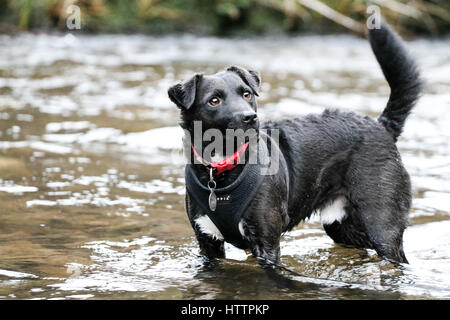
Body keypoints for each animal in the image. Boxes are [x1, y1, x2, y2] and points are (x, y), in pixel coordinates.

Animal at [168, 21, 422, 264]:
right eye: (214, 100)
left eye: (247, 94)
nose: (250, 118)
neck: (223, 167)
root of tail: (381, 125)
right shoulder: (207, 243)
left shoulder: (267, 243)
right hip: (342, 226)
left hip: (382, 225)